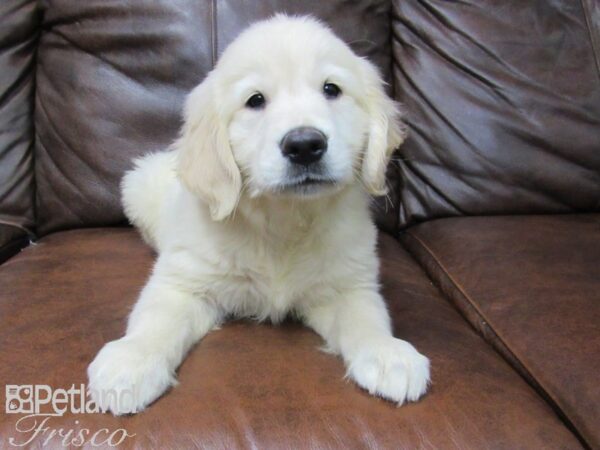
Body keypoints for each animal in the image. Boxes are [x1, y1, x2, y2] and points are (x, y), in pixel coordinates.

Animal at [86, 14, 428, 414]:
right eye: (255, 100)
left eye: (331, 89)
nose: (305, 145)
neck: (283, 220)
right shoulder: (184, 282)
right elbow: (157, 318)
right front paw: (130, 363)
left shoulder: (346, 284)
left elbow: (367, 316)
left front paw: (389, 355)